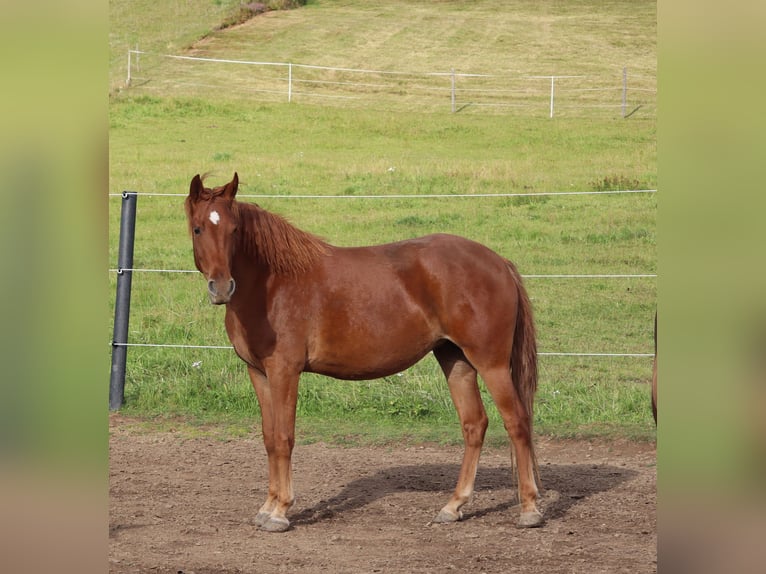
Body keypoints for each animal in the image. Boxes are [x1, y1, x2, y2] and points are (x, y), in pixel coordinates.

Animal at [185, 172, 543, 532]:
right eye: (198, 228)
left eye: (234, 230)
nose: (221, 287)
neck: (271, 285)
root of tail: (499, 263)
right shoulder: (258, 372)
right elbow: (270, 438)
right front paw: (267, 506)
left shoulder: (284, 371)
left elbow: (285, 437)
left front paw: (280, 512)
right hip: (456, 360)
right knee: (474, 424)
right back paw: (453, 506)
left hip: (491, 363)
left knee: (517, 422)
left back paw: (529, 509)